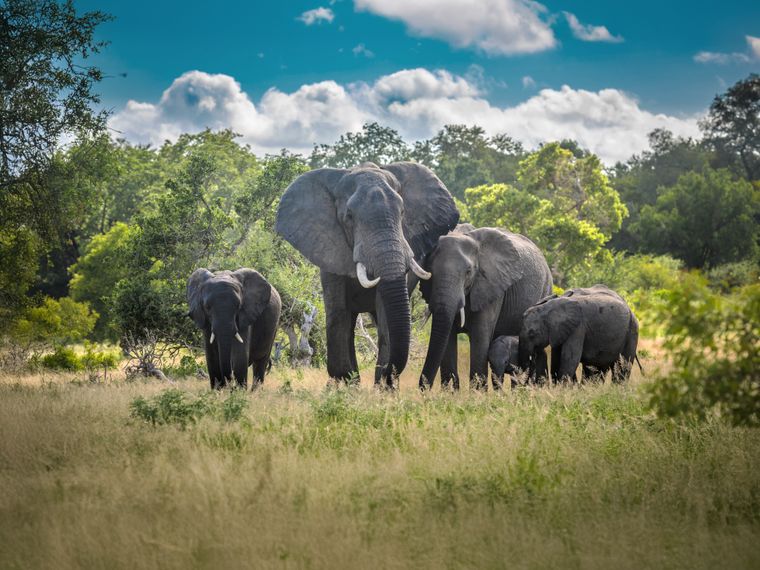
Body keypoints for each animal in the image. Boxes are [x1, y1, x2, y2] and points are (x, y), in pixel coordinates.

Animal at [275, 162, 458, 388]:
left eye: (402, 212)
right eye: (349, 217)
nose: (390, 374)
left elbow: (385, 315)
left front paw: (383, 387)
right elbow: (338, 313)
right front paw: (345, 385)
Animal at [419, 226, 553, 391]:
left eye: (469, 272)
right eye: (430, 270)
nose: (424, 388)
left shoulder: (492, 286)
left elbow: (480, 335)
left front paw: (477, 393)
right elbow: (448, 336)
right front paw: (450, 393)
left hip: (545, 289)